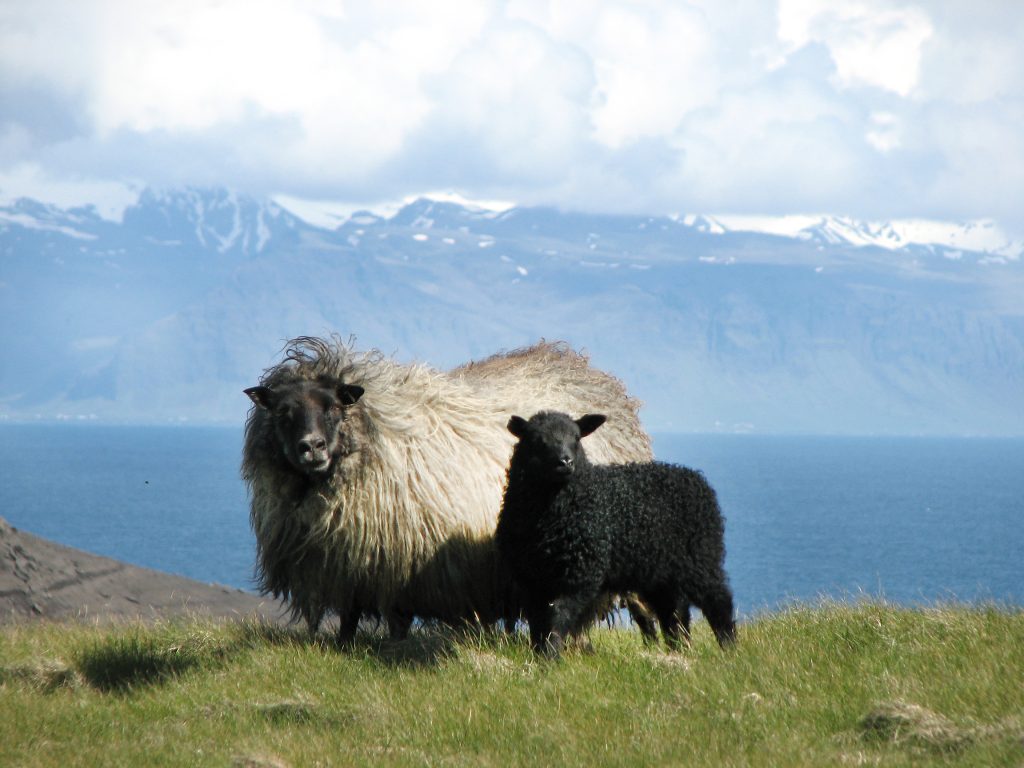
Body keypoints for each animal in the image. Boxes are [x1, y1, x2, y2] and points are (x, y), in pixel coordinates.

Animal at [241, 335, 647, 643]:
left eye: (333, 408)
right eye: (283, 413)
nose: (311, 447)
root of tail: (595, 378)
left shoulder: (393, 562)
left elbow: (392, 621)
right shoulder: (349, 564)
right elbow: (350, 617)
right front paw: (343, 646)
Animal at [495, 411, 737, 659]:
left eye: (576, 438)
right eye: (537, 440)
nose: (565, 462)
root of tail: (696, 478)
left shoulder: (581, 575)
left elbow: (558, 616)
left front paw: (551, 656)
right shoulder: (531, 579)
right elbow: (538, 622)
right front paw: (538, 654)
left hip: (700, 559)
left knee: (718, 600)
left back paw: (728, 648)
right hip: (657, 571)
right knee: (673, 611)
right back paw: (677, 649)